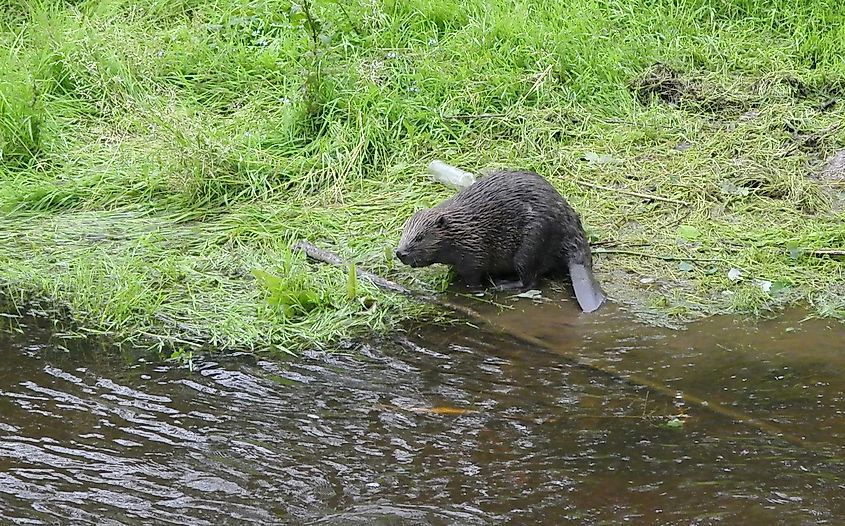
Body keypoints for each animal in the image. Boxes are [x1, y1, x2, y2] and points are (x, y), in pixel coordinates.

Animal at [392, 170, 604, 314]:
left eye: (419, 237)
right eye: (403, 234)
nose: (400, 252)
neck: (462, 226)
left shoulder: (474, 248)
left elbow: (472, 275)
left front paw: (472, 288)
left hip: (531, 244)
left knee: (530, 280)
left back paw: (502, 284)